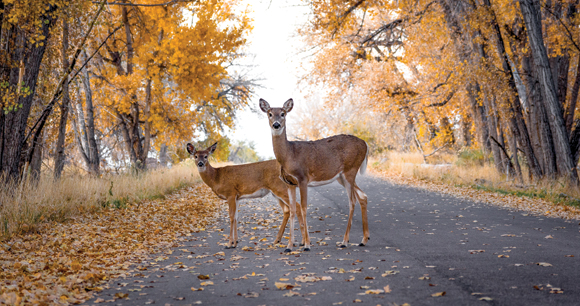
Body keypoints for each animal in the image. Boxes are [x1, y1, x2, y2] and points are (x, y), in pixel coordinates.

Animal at [260, 98, 370, 251]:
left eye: (283, 113)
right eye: (270, 114)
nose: (276, 125)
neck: (289, 155)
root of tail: (365, 144)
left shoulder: (303, 178)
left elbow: (304, 207)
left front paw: (306, 244)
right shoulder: (289, 183)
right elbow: (293, 209)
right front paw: (289, 246)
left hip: (350, 170)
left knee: (352, 201)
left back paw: (344, 241)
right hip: (341, 177)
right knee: (362, 196)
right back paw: (363, 240)